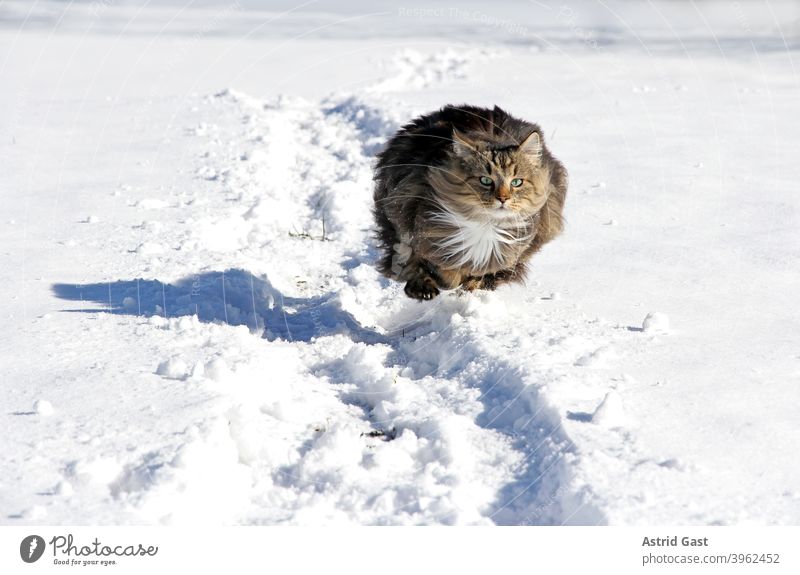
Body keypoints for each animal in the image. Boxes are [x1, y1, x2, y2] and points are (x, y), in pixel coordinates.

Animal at [370, 104, 564, 302]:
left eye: (517, 182)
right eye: (485, 180)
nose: (503, 198)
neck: (485, 226)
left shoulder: (512, 252)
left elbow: (483, 275)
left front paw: (468, 290)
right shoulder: (415, 221)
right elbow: (423, 262)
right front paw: (432, 284)